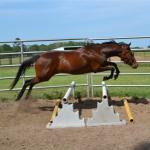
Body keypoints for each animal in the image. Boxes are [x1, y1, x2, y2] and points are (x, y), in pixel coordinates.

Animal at [9, 40, 138, 101]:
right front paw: (108, 77)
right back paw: (19, 98)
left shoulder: (104, 63)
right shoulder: (97, 68)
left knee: (30, 83)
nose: (136, 65)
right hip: (44, 76)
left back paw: (25, 99)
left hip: (43, 77)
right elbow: (112, 67)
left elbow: (114, 65)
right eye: (131, 53)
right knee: (28, 82)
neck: (98, 51)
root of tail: (40, 56)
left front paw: (114, 76)